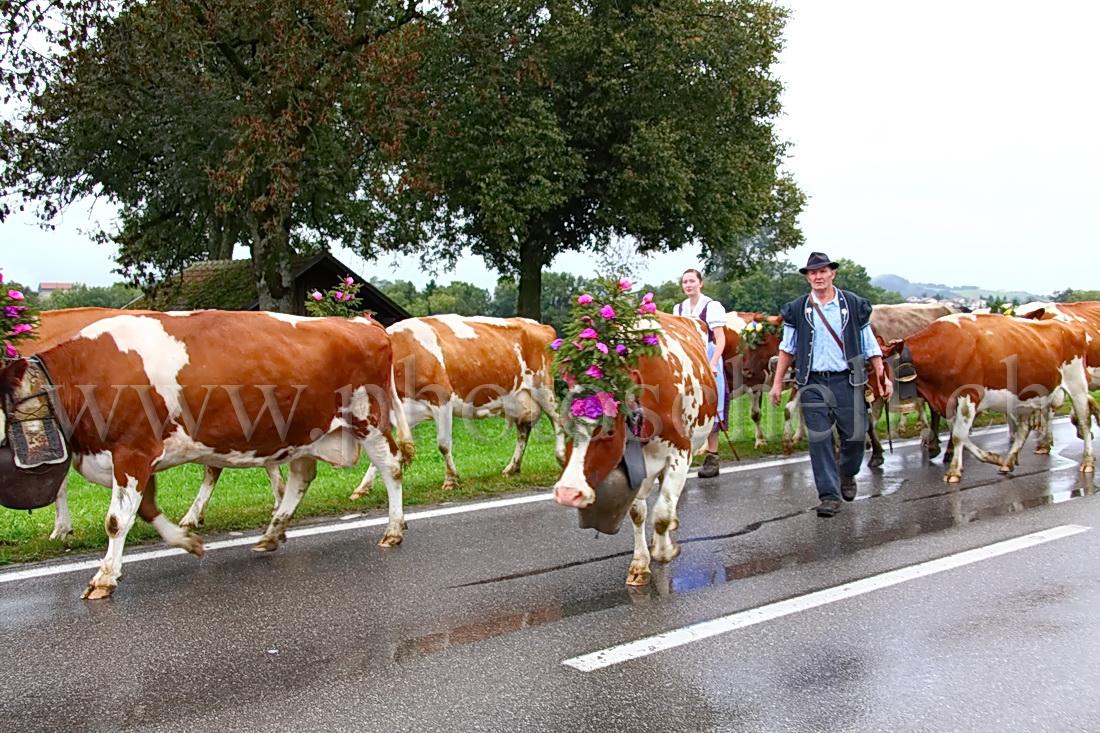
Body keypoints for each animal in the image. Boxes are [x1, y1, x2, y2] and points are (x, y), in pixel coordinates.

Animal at [0, 310, 413, 598]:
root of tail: (363, 323)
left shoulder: (132, 451)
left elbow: (117, 521)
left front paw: (104, 578)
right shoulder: (133, 459)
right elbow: (147, 509)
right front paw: (188, 541)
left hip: (366, 419)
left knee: (391, 467)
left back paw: (393, 529)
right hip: (305, 432)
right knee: (300, 479)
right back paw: (272, 533)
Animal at [349, 314, 563, 497]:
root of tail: (539, 325)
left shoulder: (442, 399)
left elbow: (443, 444)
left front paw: (451, 480)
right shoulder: (405, 412)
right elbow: (381, 455)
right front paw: (362, 488)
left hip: (543, 388)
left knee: (557, 420)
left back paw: (560, 457)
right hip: (520, 399)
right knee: (524, 429)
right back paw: (512, 468)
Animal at [550, 277, 721, 585]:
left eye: (608, 431)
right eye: (565, 424)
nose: (569, 493)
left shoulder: (679, 454)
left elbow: (661, 513)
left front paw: (663, 550)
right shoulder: (633, 468)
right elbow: (638, 513)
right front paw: (640, 563)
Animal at [884, 312, 1091, 479]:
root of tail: (1069, 325)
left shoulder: (968, 396)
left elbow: (959, 435)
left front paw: (953, 472)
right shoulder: (947, 402)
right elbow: (961, 435)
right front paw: (993, 458)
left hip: (1077, 386)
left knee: (1084, 421)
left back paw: (1087, 462)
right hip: (1024, 396)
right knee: (1024, 428)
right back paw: (1008, 462)